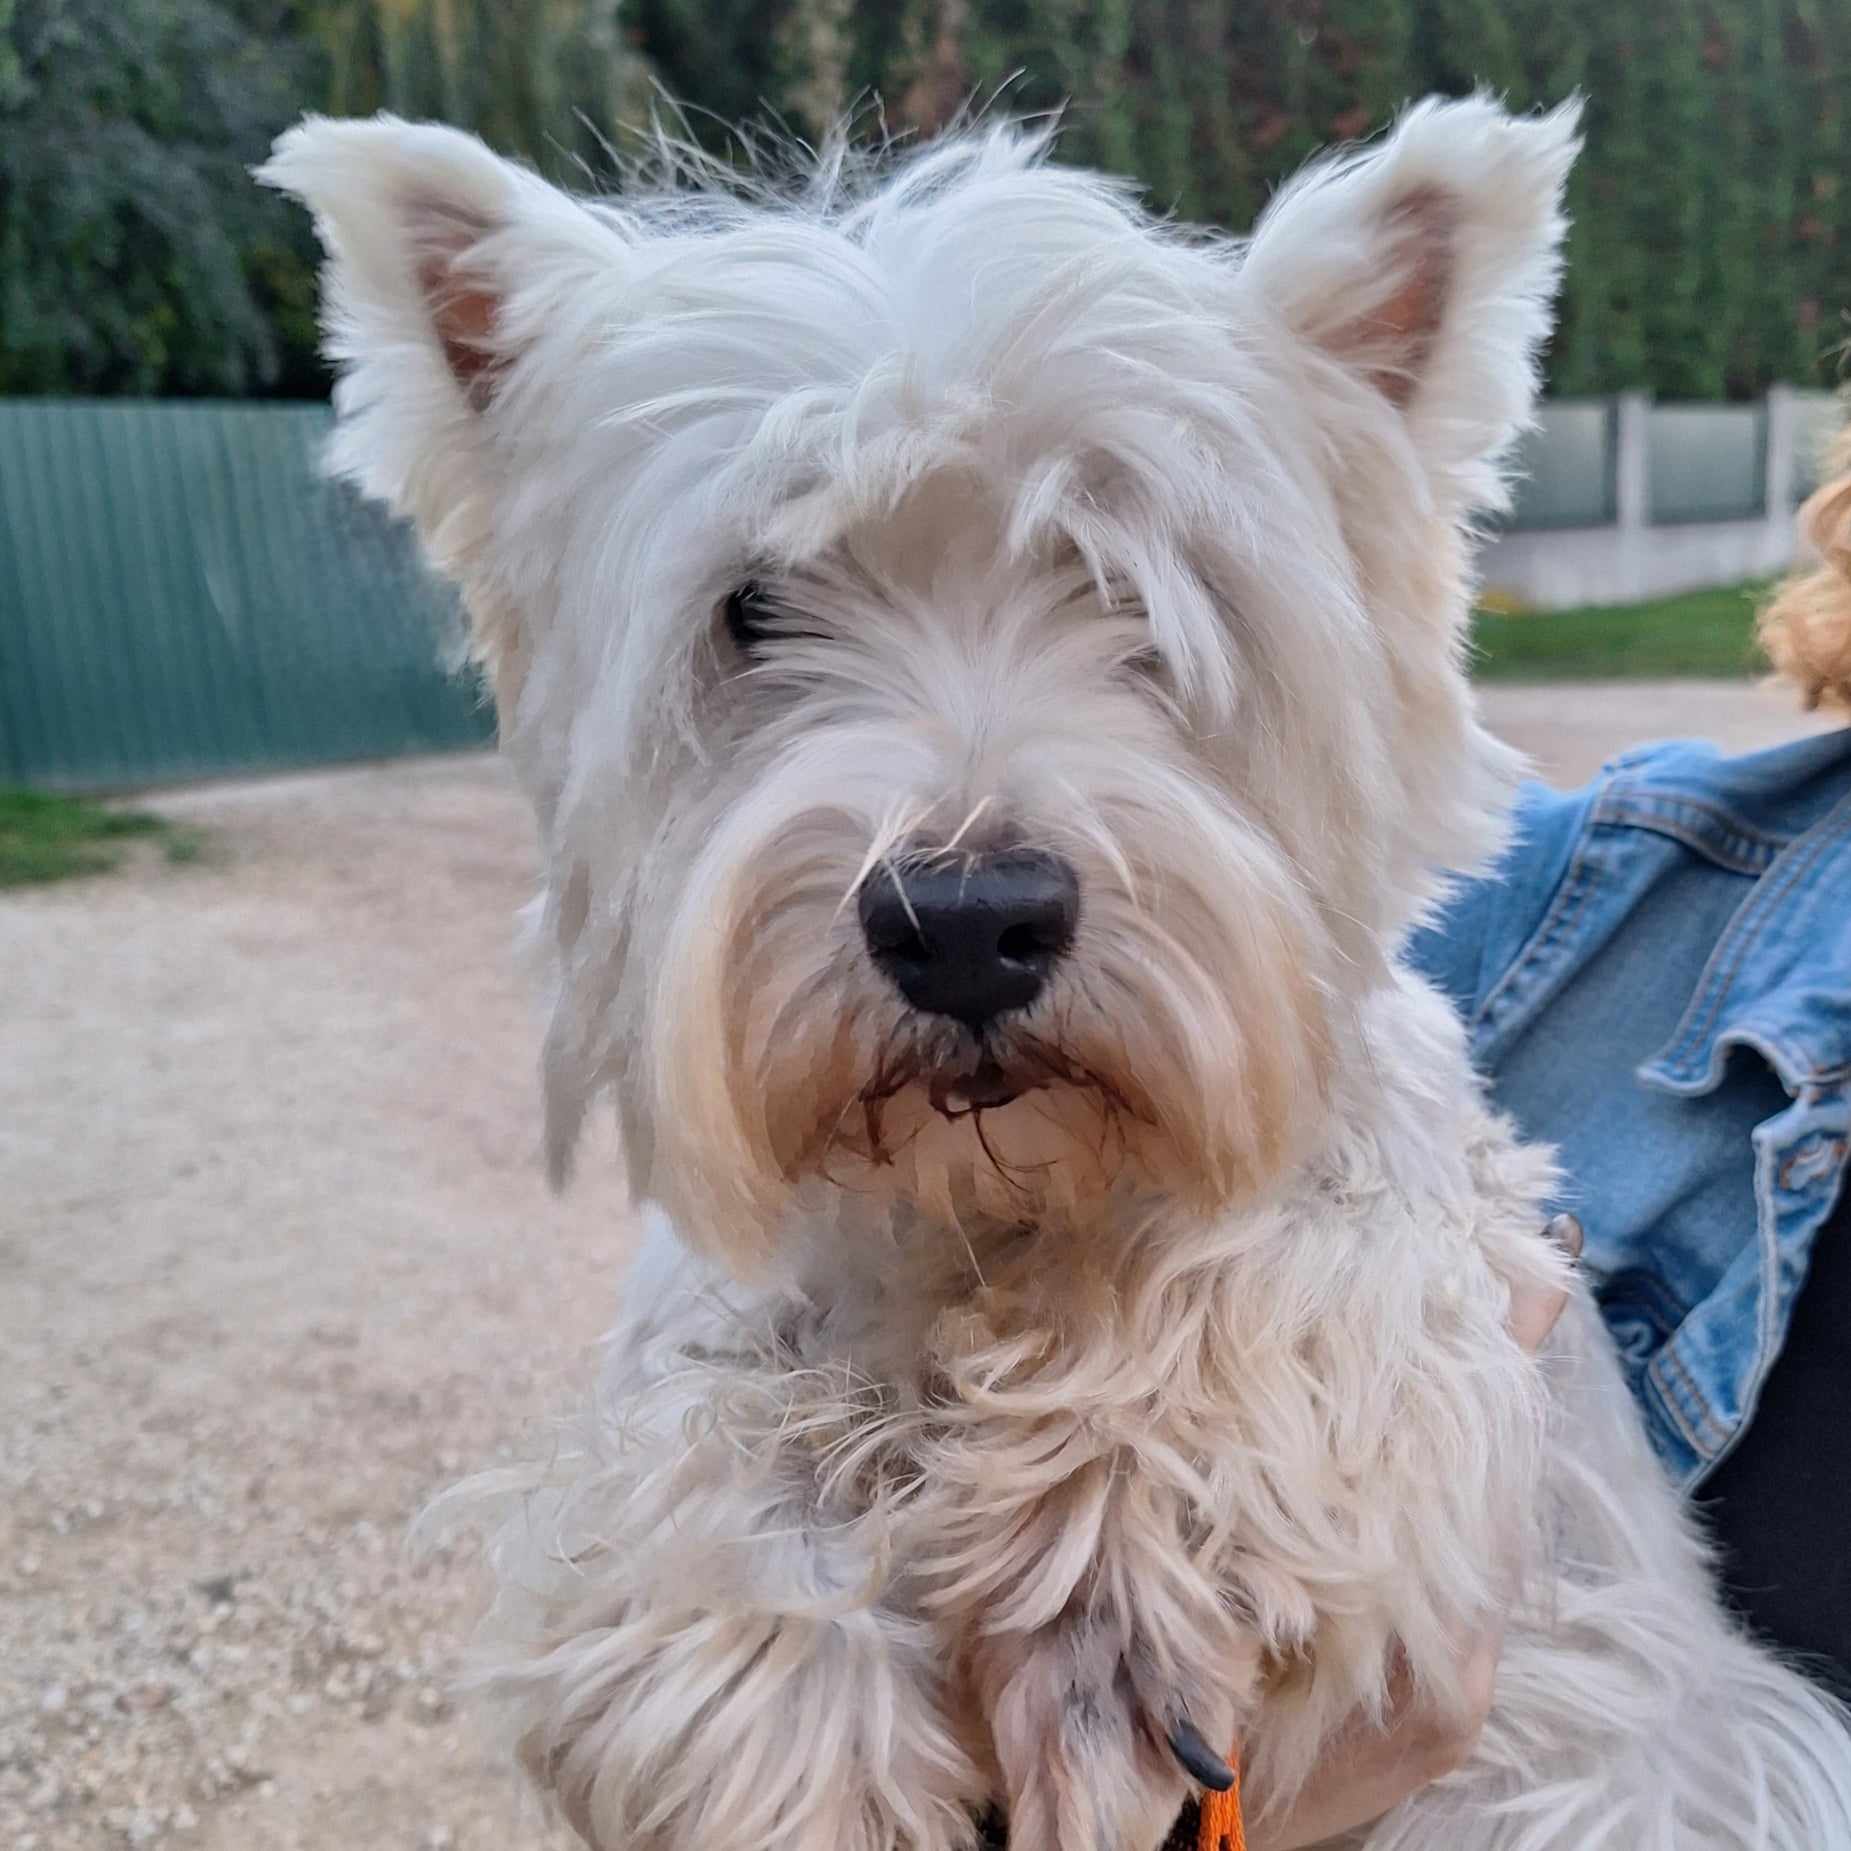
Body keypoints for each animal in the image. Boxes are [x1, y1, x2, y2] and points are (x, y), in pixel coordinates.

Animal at [262, 97, 1851, 1850]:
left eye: (1149, 589)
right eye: (750, 606)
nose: (964, 921)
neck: (1000, 1200)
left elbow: (1296, 1256)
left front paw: (1117, 1553)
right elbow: (688, 1435)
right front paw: (772, 1685)